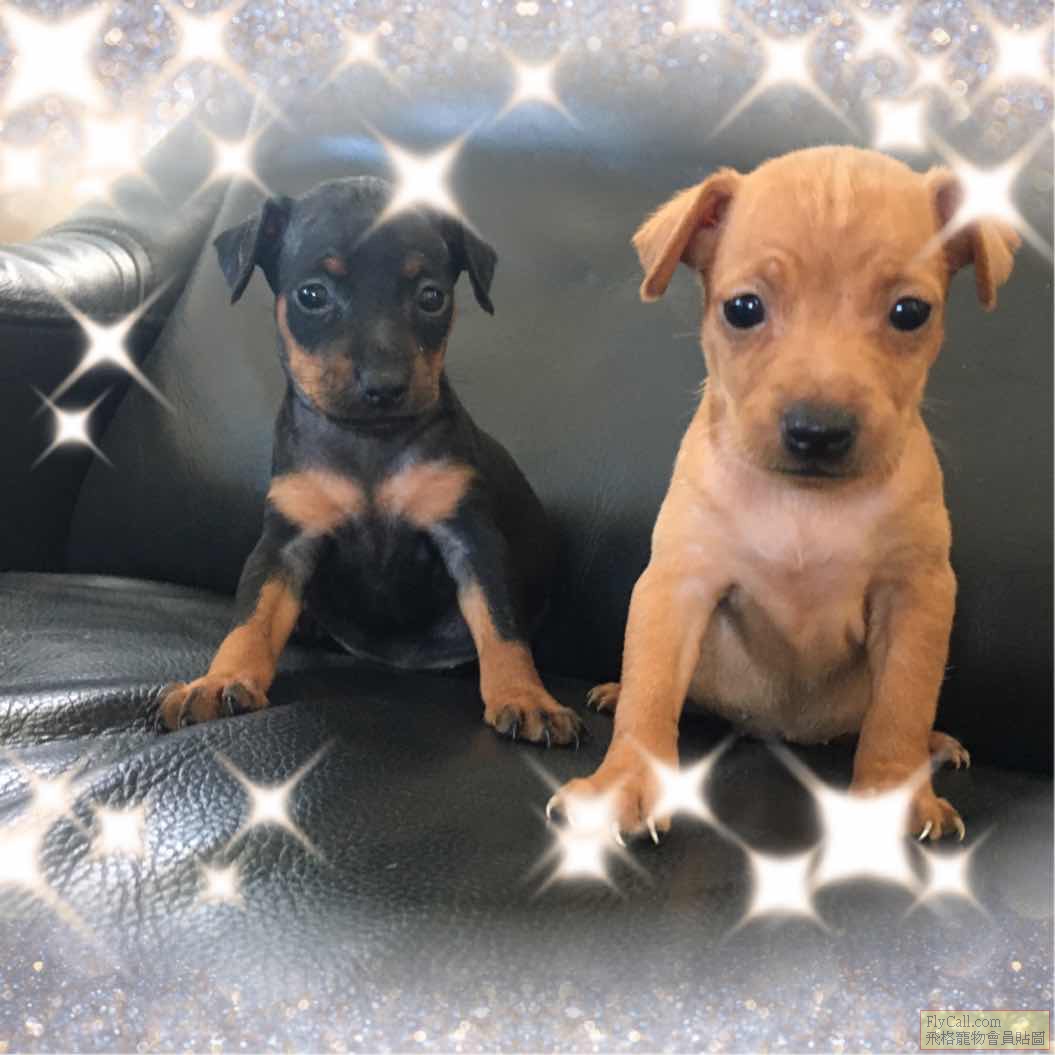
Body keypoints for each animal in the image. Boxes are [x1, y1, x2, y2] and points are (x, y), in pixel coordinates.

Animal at [158, 176, 584, 748]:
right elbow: (252, 617)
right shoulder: (285, 542)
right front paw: (221, 680)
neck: (369, 443)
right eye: (312, 295)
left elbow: (501, 626)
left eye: (432, 297)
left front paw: (526, 697)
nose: (384, 386)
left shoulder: (472, 539)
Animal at [550, 146, 1019, 840]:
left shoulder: (916, 597)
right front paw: (625, 783)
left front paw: (896, 791)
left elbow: (901, 705)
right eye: (743, 309)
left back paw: (935, 744)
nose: (818, 431)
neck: (805, 505)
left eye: (910, 312)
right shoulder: (678, 584)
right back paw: (613, 692)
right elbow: (651, 689)